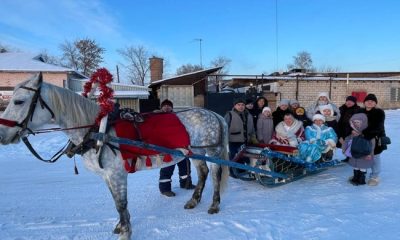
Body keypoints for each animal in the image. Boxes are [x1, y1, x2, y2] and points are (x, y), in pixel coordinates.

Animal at [0, 73, 228, 240]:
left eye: (19, 101)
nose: (2, 135)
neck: (97, 131)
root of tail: (214, 114)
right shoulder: (107, 175)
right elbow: (116, 202)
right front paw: (121, 225)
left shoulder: (117, 173)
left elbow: (121, 203)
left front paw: (126, 232)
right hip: (196, 152)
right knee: (203, 172)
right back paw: (193, 201)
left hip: (212, 151)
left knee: (215, 175)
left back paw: (214, 205)